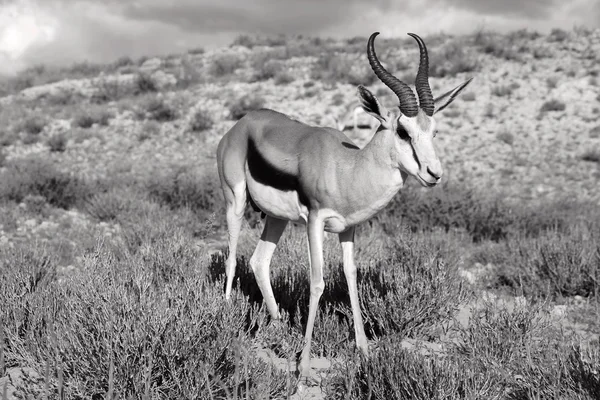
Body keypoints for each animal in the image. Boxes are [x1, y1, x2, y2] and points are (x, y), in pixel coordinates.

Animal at [216, 31, 474, 382]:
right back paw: (227, 318)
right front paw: (304, 368)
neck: (348, 168)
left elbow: (351, 276)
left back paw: (279, 327)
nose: (434, 173)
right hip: (236, 201)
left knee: (258, 261)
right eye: (403, 131)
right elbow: (317, 282)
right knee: (231, 259)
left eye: (434, 131)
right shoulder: (314, 222)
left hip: (275, 218)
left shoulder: (349, 228)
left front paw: (364, 353)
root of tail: (242, 124)